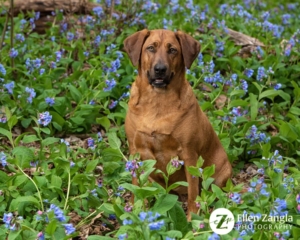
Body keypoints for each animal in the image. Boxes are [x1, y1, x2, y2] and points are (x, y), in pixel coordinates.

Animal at [123, 29, 231, 218]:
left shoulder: (189, 154)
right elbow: (137, 185)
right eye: (150, 48)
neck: (157, 101)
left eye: (172, 50)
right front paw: (137, 208)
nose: (160, 69)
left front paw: (192, 219)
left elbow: (193, 194)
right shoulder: (136, 150)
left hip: (219, 174)